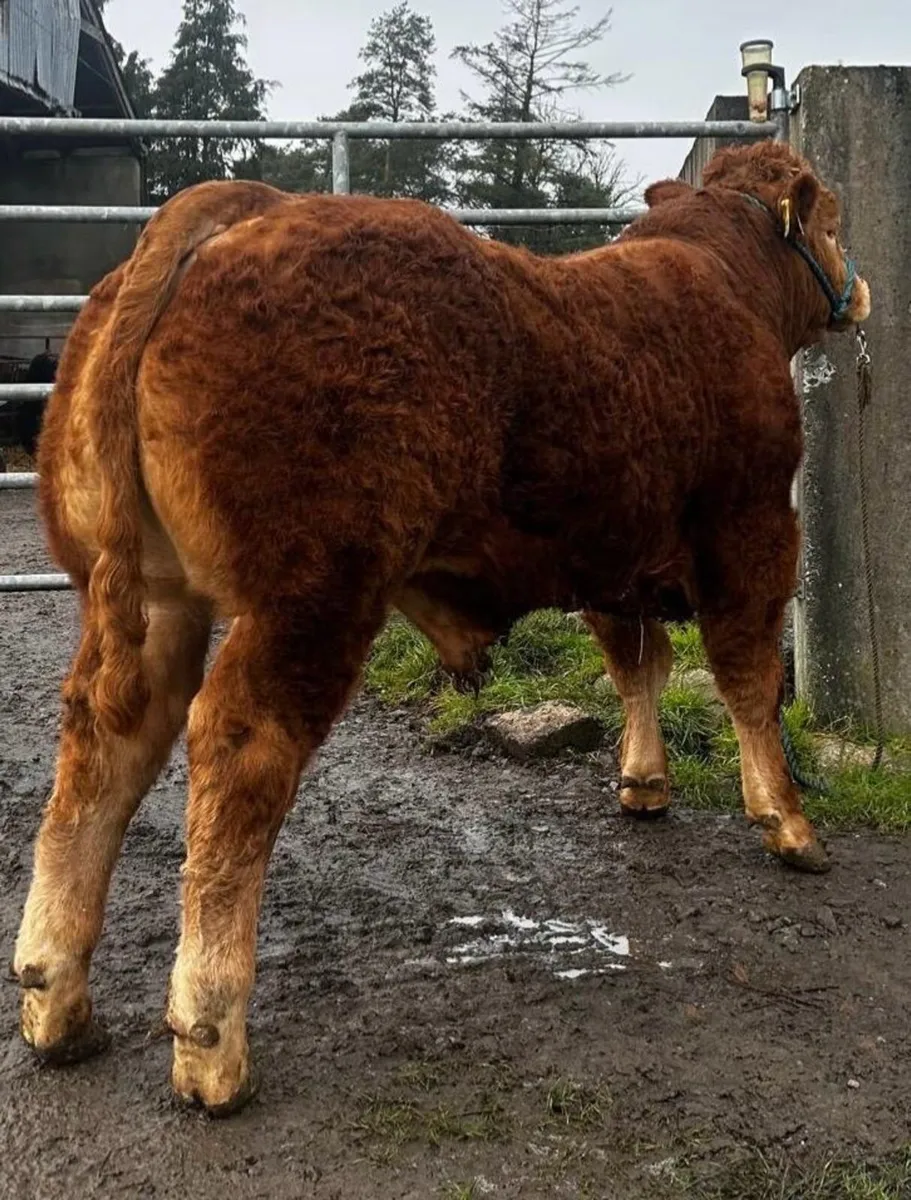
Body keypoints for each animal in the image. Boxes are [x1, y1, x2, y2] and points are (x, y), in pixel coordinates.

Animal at [12, 141, 870, 1114]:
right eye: (832, 216)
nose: (858, 292)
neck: (722, 279)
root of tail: (249, 209)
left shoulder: (610, 554)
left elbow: (636, 666)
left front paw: (644, 784)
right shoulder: (752, 529)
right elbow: (749, 679)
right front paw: (788, 822)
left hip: (153, 599)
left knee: (104, 738)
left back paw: (57, 1000)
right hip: (312, 598)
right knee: (238, 747)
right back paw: (211, 1040)